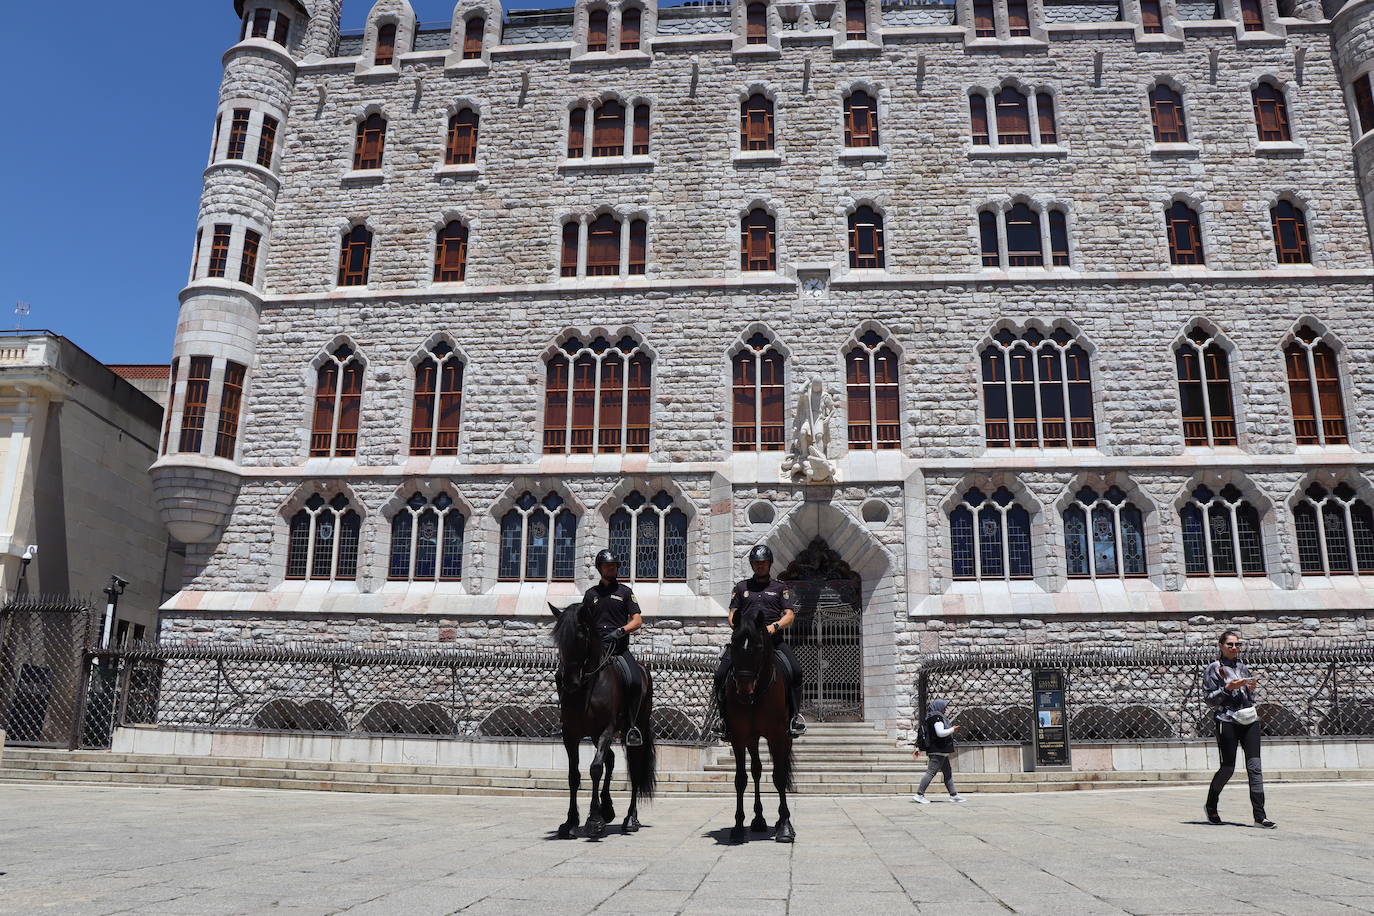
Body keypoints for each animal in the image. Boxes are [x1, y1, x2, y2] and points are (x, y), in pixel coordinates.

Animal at [546, 598, 654, 840]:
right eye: (558, 639)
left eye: (580, 636)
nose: (569, 682)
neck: (587, 688)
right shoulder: (571, 734)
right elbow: (574, 775)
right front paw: (571, 822)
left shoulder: (606, 729)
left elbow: (595, 769)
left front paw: (594, 821)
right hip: (595, 735)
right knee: (611, 759)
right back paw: (608, 809)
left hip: (634, 730)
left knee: (634, 768)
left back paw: (630, 819)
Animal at [719, 604, 796, 840]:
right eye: (734, 645)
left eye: (759, 647)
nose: (744, 691)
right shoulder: (738, 737)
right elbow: (740, 779)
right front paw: (737, 827)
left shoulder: (778, 736)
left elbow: (779, 776)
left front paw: (785, 826)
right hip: (752, 739)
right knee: (756, 770)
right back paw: (759, 819)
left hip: (785, 738)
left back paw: (779, 821)